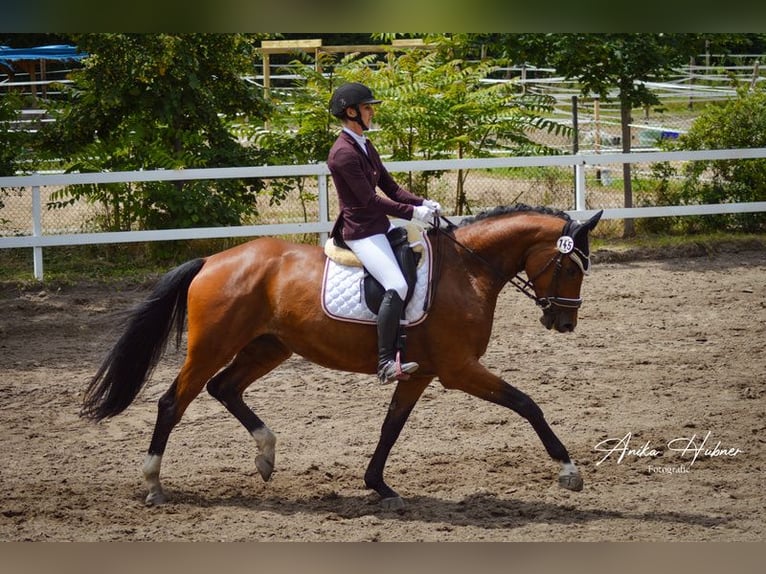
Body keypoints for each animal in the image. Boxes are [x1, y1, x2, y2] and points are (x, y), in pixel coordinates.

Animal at [81, 205, 604, 510]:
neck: (468, 271)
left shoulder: (422, 373)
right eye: (571, 266)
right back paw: (153, 484)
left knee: (224, 388)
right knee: (173, 402)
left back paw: (266, 455)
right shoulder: (459, 370)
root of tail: (213, 260)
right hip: (213, 346)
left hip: (269, 346)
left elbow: (391, 426)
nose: (565, 323)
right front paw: (569, 472)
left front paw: (379, 485)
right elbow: (527, 404)